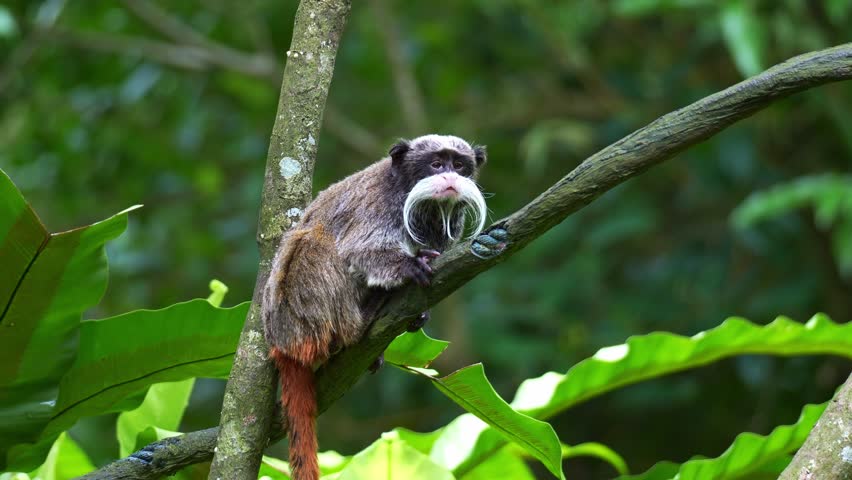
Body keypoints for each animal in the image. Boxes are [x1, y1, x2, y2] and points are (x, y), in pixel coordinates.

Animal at [261, 134, 487, 480]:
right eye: (436, 164)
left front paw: (420, 312)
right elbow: (360, 251)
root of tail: (281, 343)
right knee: (317, 239)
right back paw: (361, 321)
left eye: (459, 166)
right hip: (300, 310)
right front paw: (410, 267)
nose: (450, 178)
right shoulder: (378, 206)